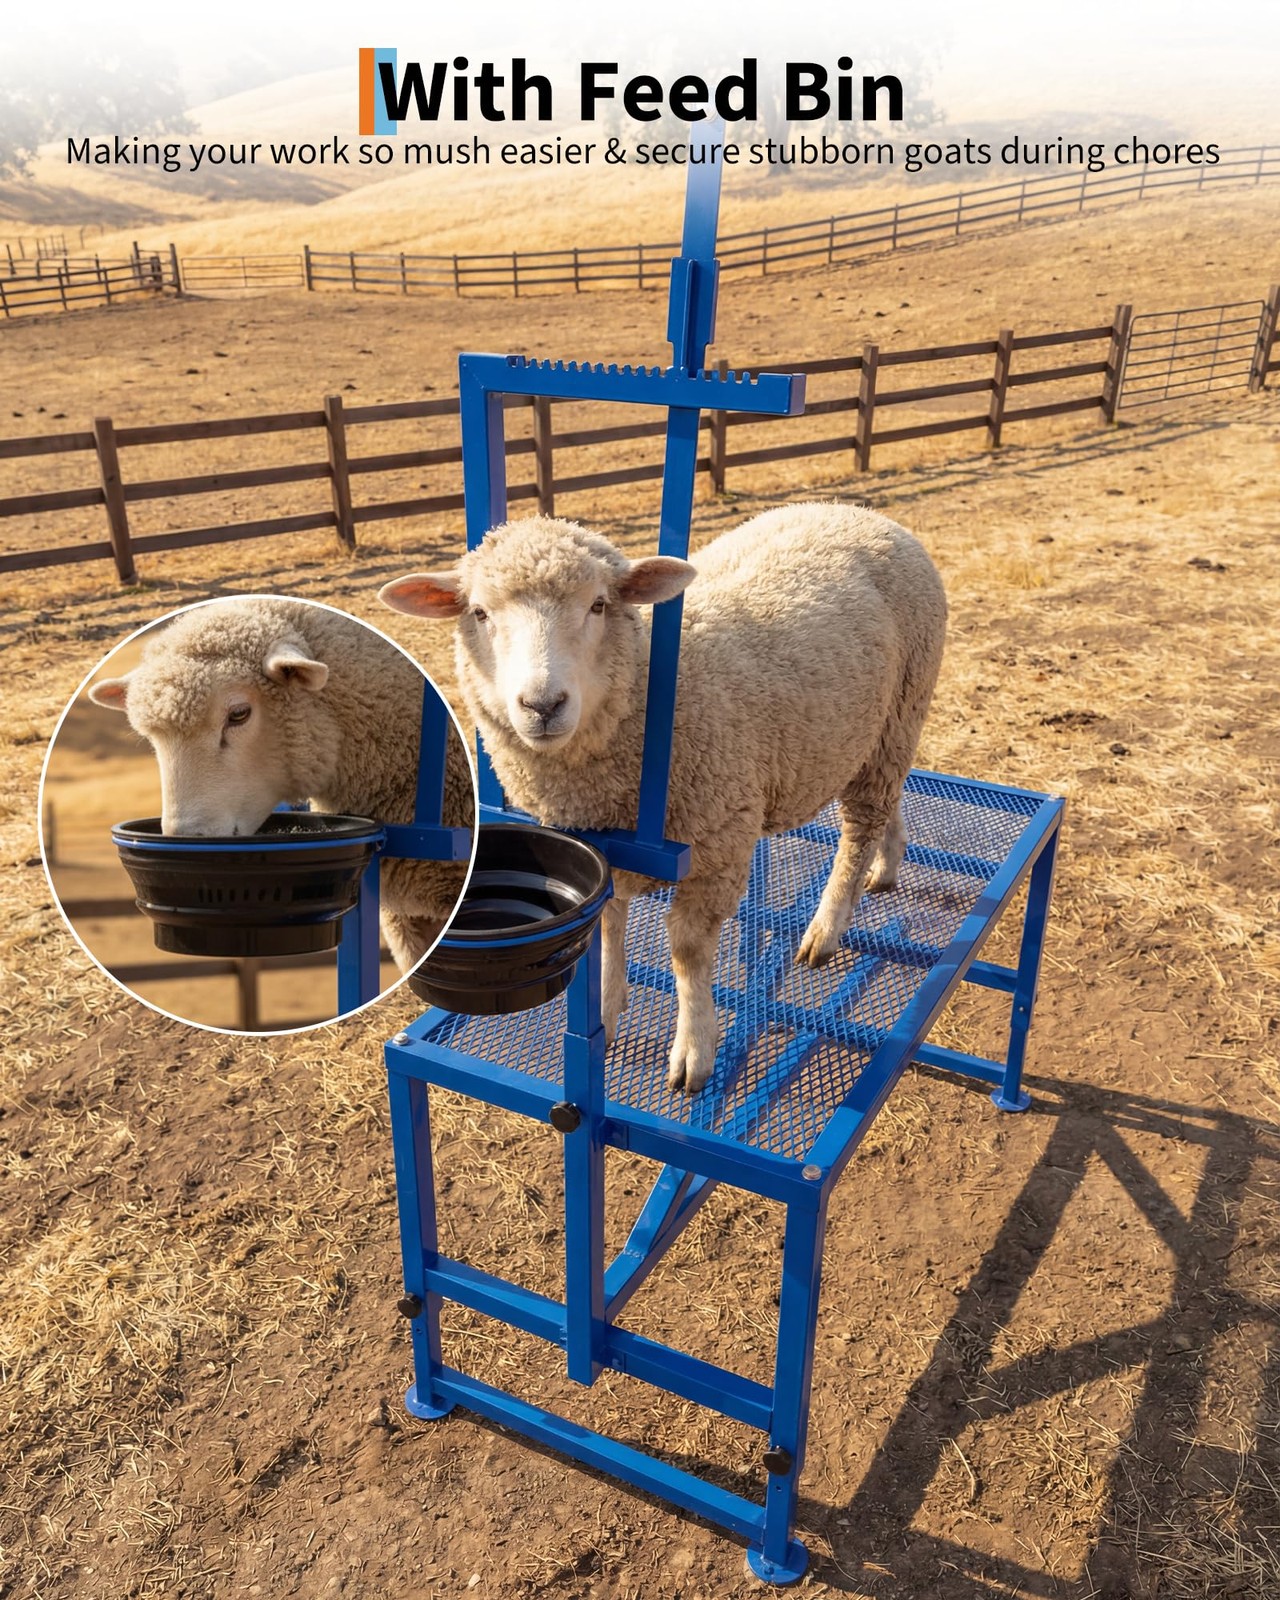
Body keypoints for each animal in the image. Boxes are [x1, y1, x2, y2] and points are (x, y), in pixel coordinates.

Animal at [379, 503, 947, 1093]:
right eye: (480, 613)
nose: (542, 705)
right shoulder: (597, 841)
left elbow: (689, 952)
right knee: (887, 801)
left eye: (599, 605)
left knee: (859, 828)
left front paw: (694, 1050)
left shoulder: (718, 843)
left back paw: (828, 925)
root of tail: (857, 511)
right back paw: (887, 862)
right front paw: (606, 1008)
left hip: (904, 704)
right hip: (877, 732)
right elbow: (606, 925)